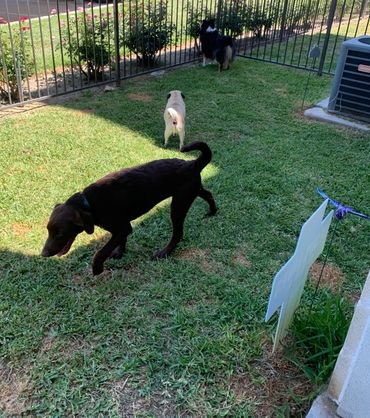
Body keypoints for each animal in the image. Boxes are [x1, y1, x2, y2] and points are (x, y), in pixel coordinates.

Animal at [42, 142, 217, 276]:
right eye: (48, 231)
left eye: (60, 234)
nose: (43, 254)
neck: (90, 203)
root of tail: (192, 163)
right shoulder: (123, 227)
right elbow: (121, 241)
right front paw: (119, 253)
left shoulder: (122, 228)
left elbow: (100, 252)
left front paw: (97, 269)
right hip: (192, 191)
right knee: (208, 194)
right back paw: (212, 211)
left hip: (178, 205)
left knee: (178, 234)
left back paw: (164, 253)